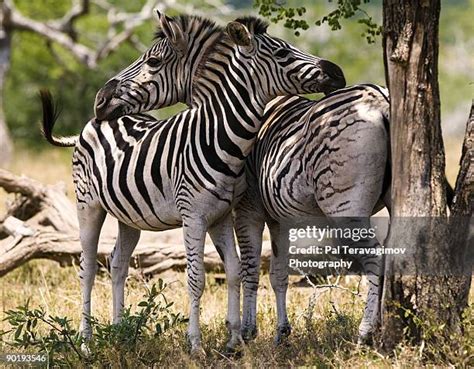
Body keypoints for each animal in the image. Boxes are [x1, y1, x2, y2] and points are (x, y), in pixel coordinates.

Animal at [40, 14, 344, 352]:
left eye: (153, 61)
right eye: (282, 53)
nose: (337, 72)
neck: (219, 137)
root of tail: (88, 125)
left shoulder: (222, 215)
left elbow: (235, 272)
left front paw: (234, 340)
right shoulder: (195, 216)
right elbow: (198, 279)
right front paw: (196, 345)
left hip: (128, 215)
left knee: (117, 263)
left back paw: (120, 335)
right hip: (87, 205)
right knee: (88, 269)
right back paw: (86, 343)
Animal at [235, 84, 390, 344]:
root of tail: (378, 98)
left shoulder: (248, 210)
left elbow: (250, 269)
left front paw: (247, 331)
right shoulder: (279, 220)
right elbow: (278, 274)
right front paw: (281, 332)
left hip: (344, 205)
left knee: (376, 256)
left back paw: (366, 330)